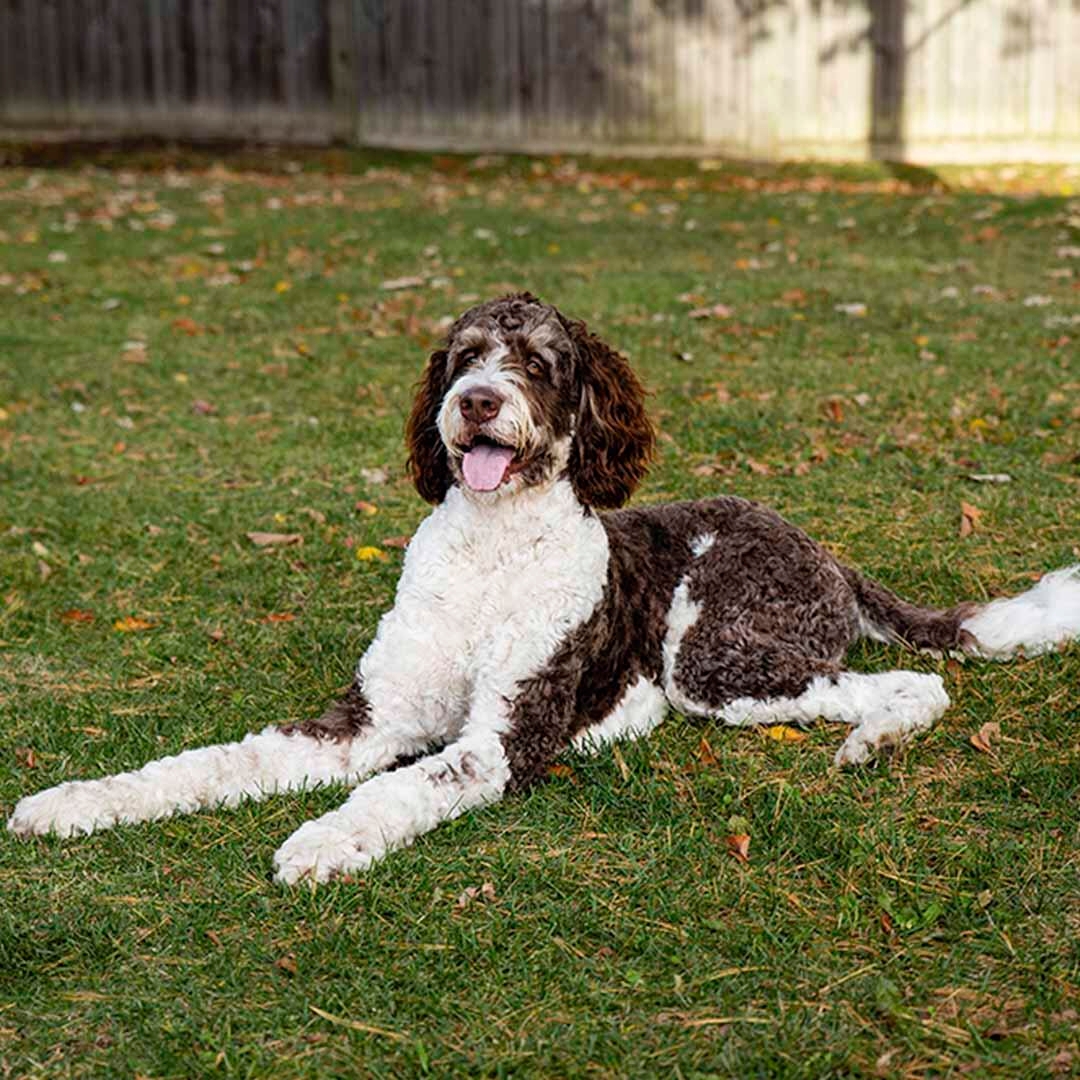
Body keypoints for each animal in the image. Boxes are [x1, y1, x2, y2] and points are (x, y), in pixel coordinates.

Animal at [10, 291, 1080, 881]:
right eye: (460, 357)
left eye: (539, 362)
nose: (475, 403)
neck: (490, 556)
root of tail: (818, 545)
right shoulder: (366, 720)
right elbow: (208, 763)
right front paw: (78, 802)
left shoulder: (502, 737)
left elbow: (401, 788)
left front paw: (324, 842)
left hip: (713, 661)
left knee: (908, 683)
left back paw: (871, 740)